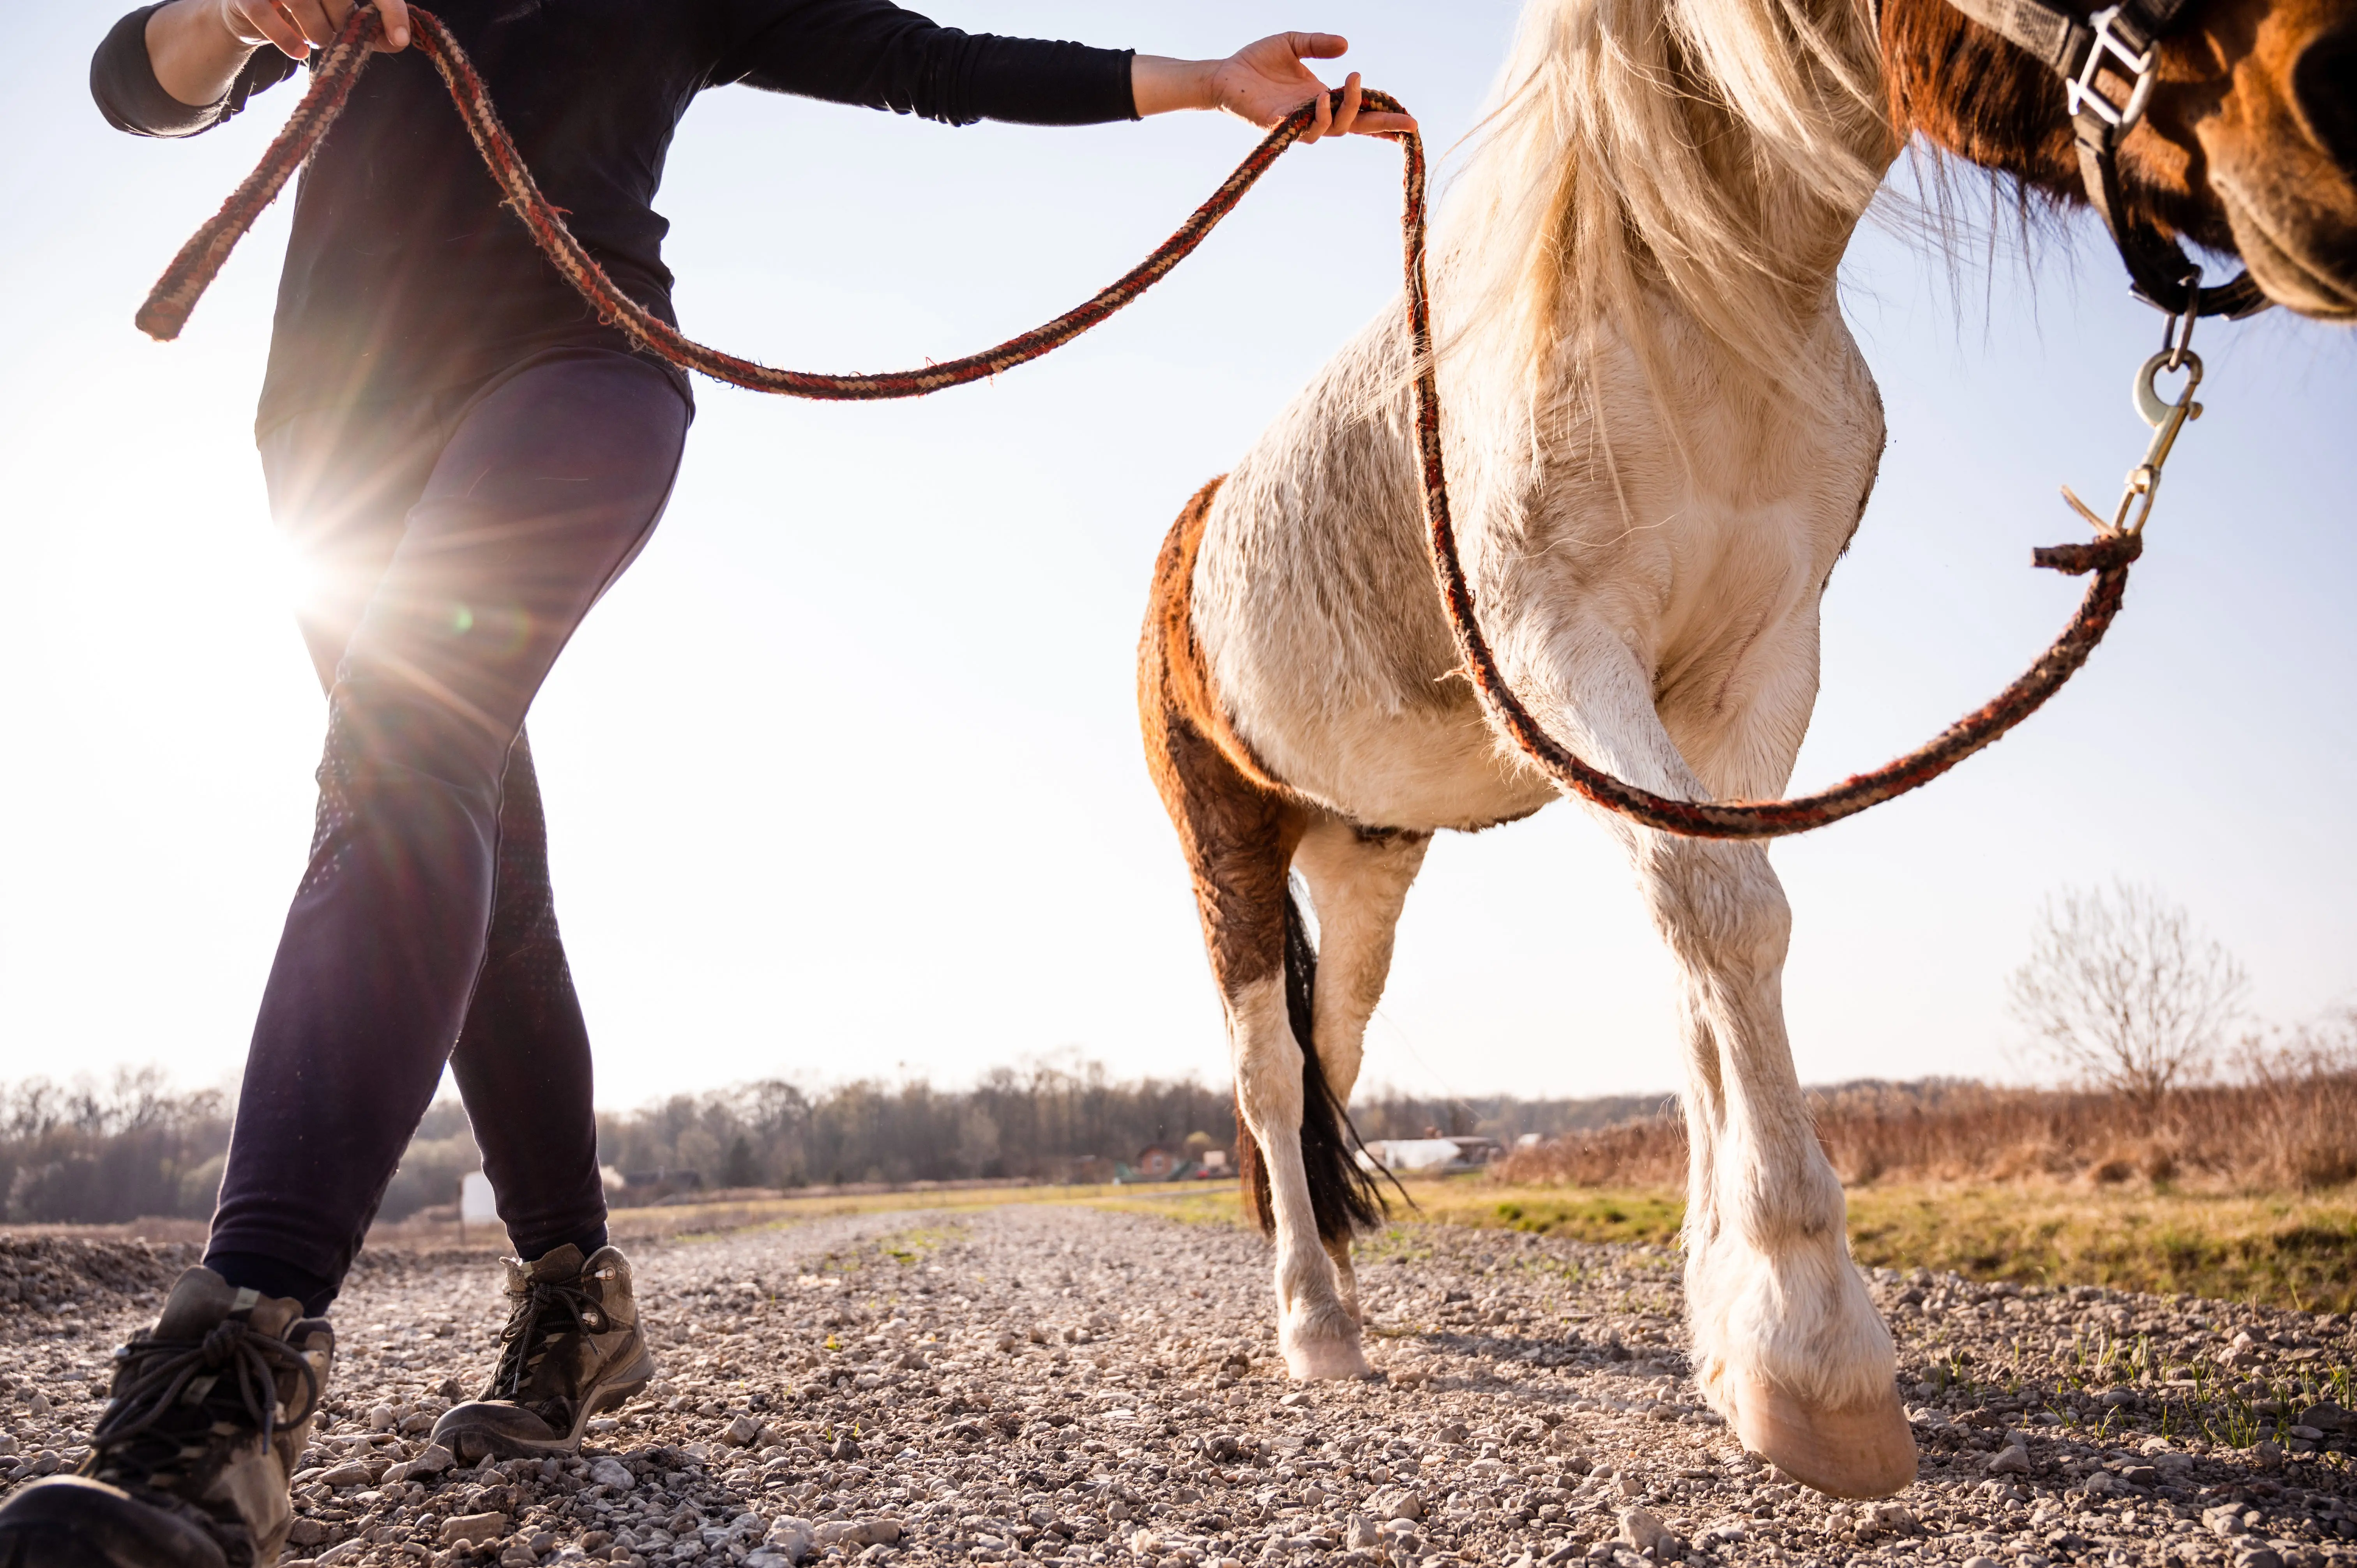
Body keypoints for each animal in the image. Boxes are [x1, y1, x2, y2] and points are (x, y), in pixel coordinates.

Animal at [1137, 0, 2354, 1500]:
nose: (2338, 101)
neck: (1689, 304)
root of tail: (1194, 533)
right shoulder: (1565, 652)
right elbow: (1718, 917)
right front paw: (1811, 1353)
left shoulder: (1752, 678)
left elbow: (1721, 946)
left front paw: (1737, 1327)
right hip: (1228, 848)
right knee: (1264, 1069)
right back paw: (1313, 1324)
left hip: (1368, 858)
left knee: (1332, 1052)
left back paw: (1344, 1292)